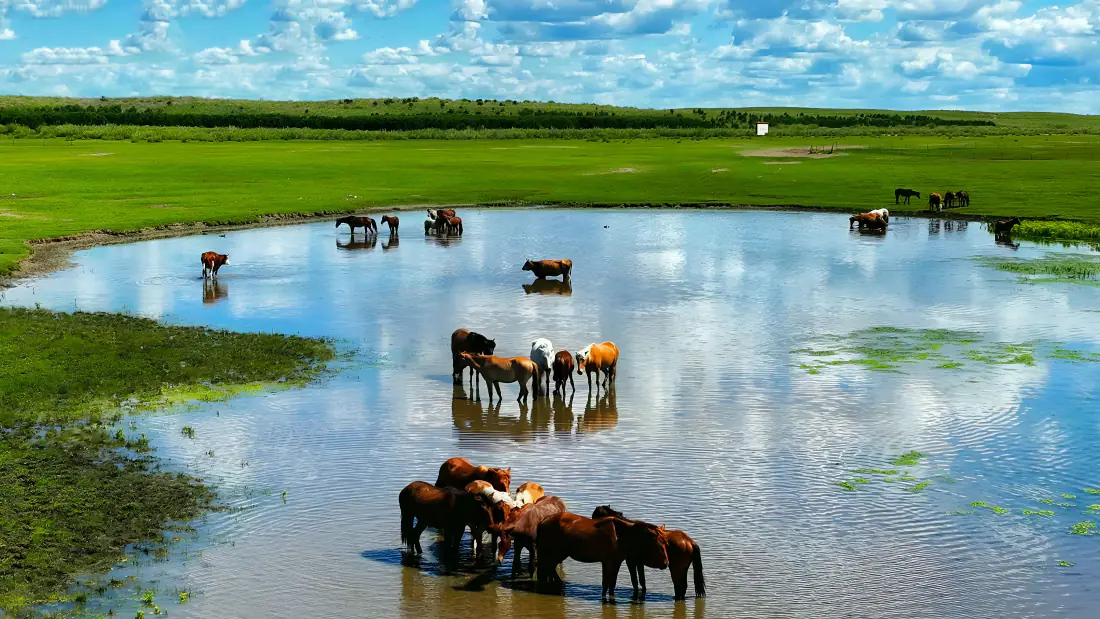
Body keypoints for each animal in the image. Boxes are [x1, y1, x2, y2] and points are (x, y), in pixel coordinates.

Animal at [535, 512, 668, 601]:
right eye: (660, 545)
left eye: (666, 544)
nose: (666, 563)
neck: (623, 536)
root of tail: (541, 522)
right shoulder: (611, 561)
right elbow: (608, 584)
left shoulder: (612, 561)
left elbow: (608, 584)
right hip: (553, 553)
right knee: (547, 569)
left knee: (548, 570)